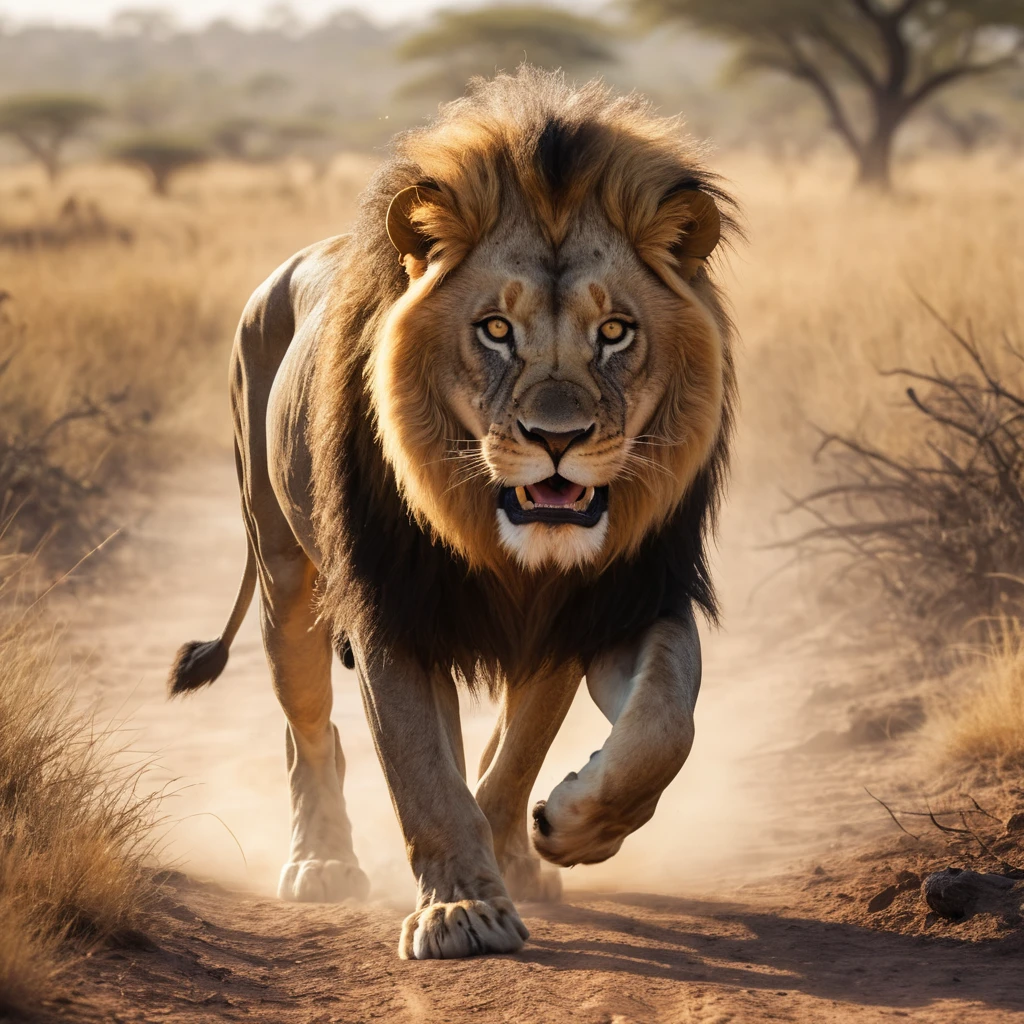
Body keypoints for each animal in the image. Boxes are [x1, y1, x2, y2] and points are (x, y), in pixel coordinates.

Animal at [168, 67, 736, 960]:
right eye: (495, 330)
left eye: (615, 331)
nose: (557, 440)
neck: (508, 546)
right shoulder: (393, 611)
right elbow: (423, 777)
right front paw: (462, 911)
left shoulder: (614, 601)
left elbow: (647, 731)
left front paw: (562, 828)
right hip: (284, 573)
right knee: (309, 729)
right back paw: (322, 863)